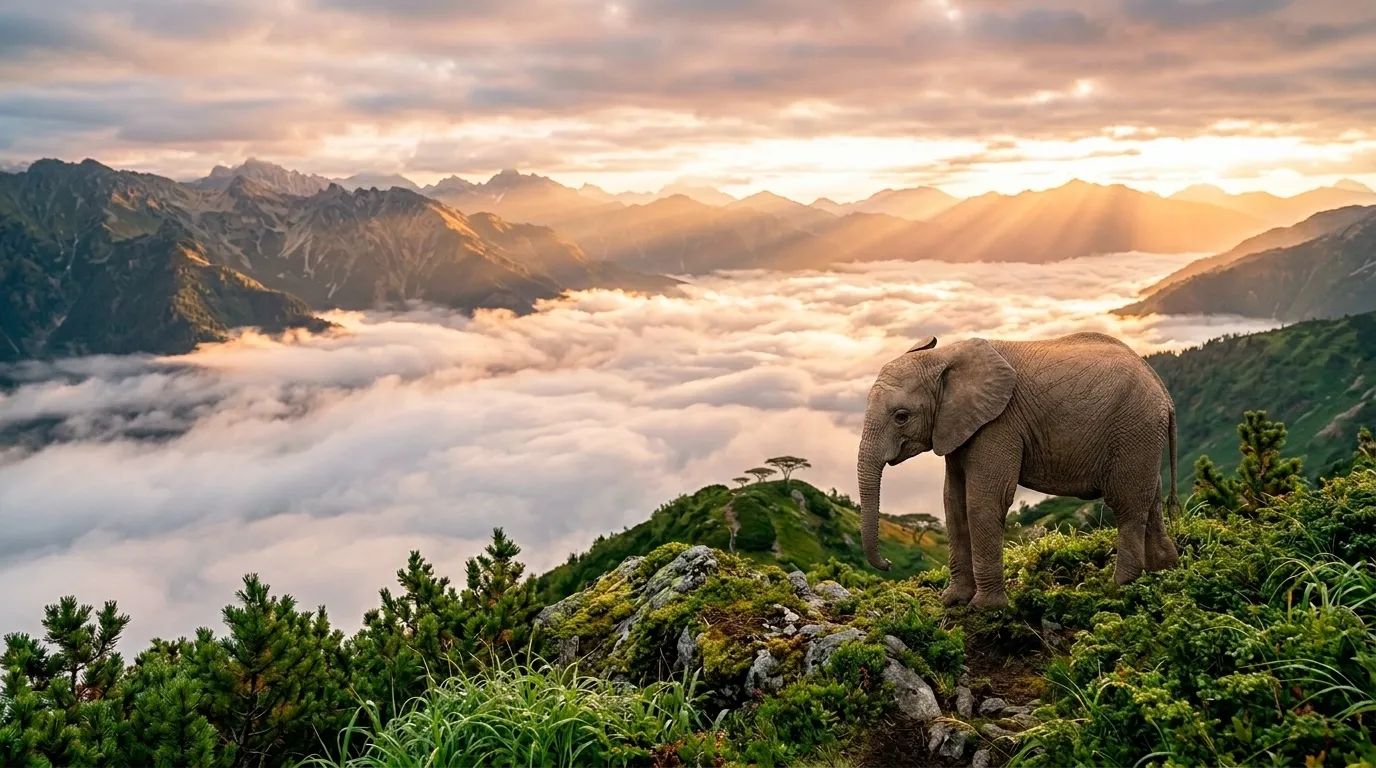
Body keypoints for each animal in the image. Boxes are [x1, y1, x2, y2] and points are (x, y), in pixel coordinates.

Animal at [857, 332, 1181, 609]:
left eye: (901, 416)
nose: (887, 565)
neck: (945, 356)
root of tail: (1165, 394)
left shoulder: (999, 424)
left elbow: (983, 502)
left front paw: (985, 608)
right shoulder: (956, 426)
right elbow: (954, 502)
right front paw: (952, 601)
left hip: (1133, 429)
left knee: (1127, 504)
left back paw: (1118, 587)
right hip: (1141, 436)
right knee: (1151, 495)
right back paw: (1163, 569)